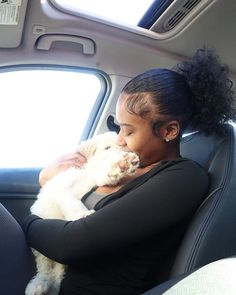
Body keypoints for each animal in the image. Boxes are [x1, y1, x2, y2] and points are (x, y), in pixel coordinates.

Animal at [25, 132, 140, 295]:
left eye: (122, 146)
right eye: (107, 147)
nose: (122, 153)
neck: (87, 171)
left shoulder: (96, 178)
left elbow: (105, 175)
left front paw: (125, 163)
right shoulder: (63, 188)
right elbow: (72, 203)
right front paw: (82, 215)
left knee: (56, 271)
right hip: (39, 251)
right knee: (44, 266)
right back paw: (39, 285)